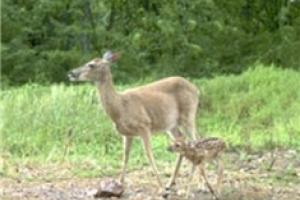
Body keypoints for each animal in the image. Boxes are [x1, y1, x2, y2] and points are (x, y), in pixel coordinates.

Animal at [68, 50, 199, 188]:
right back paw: (171, 182)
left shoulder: (144, 125)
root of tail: (196, 89)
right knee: (183, 140)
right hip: (171, 124)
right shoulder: (127, 134)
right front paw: (120, 182)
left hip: (188, 115)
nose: (71, 73)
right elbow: (125, 156)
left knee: (196, 140)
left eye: (91, 65)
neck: (120, 107)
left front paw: (160, 185)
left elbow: (148, 154)